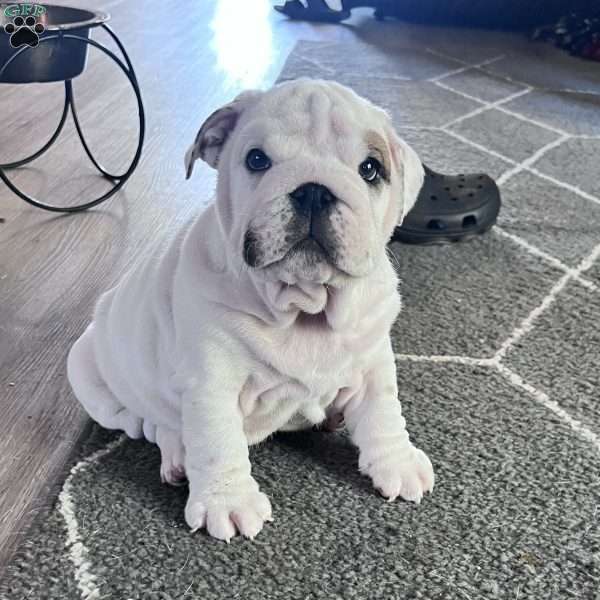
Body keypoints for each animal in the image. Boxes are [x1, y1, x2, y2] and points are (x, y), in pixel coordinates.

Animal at [68, 77, 434, 540]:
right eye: (257, 160)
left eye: (371, 169)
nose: (314, 190)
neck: (304, 306)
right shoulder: (211, 382)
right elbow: (216, 439)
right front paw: (228, 502)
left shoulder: (373, 356)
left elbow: (384, 408)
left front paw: (397, 462)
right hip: (89, 374)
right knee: (150, 422)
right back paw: (176, 456)